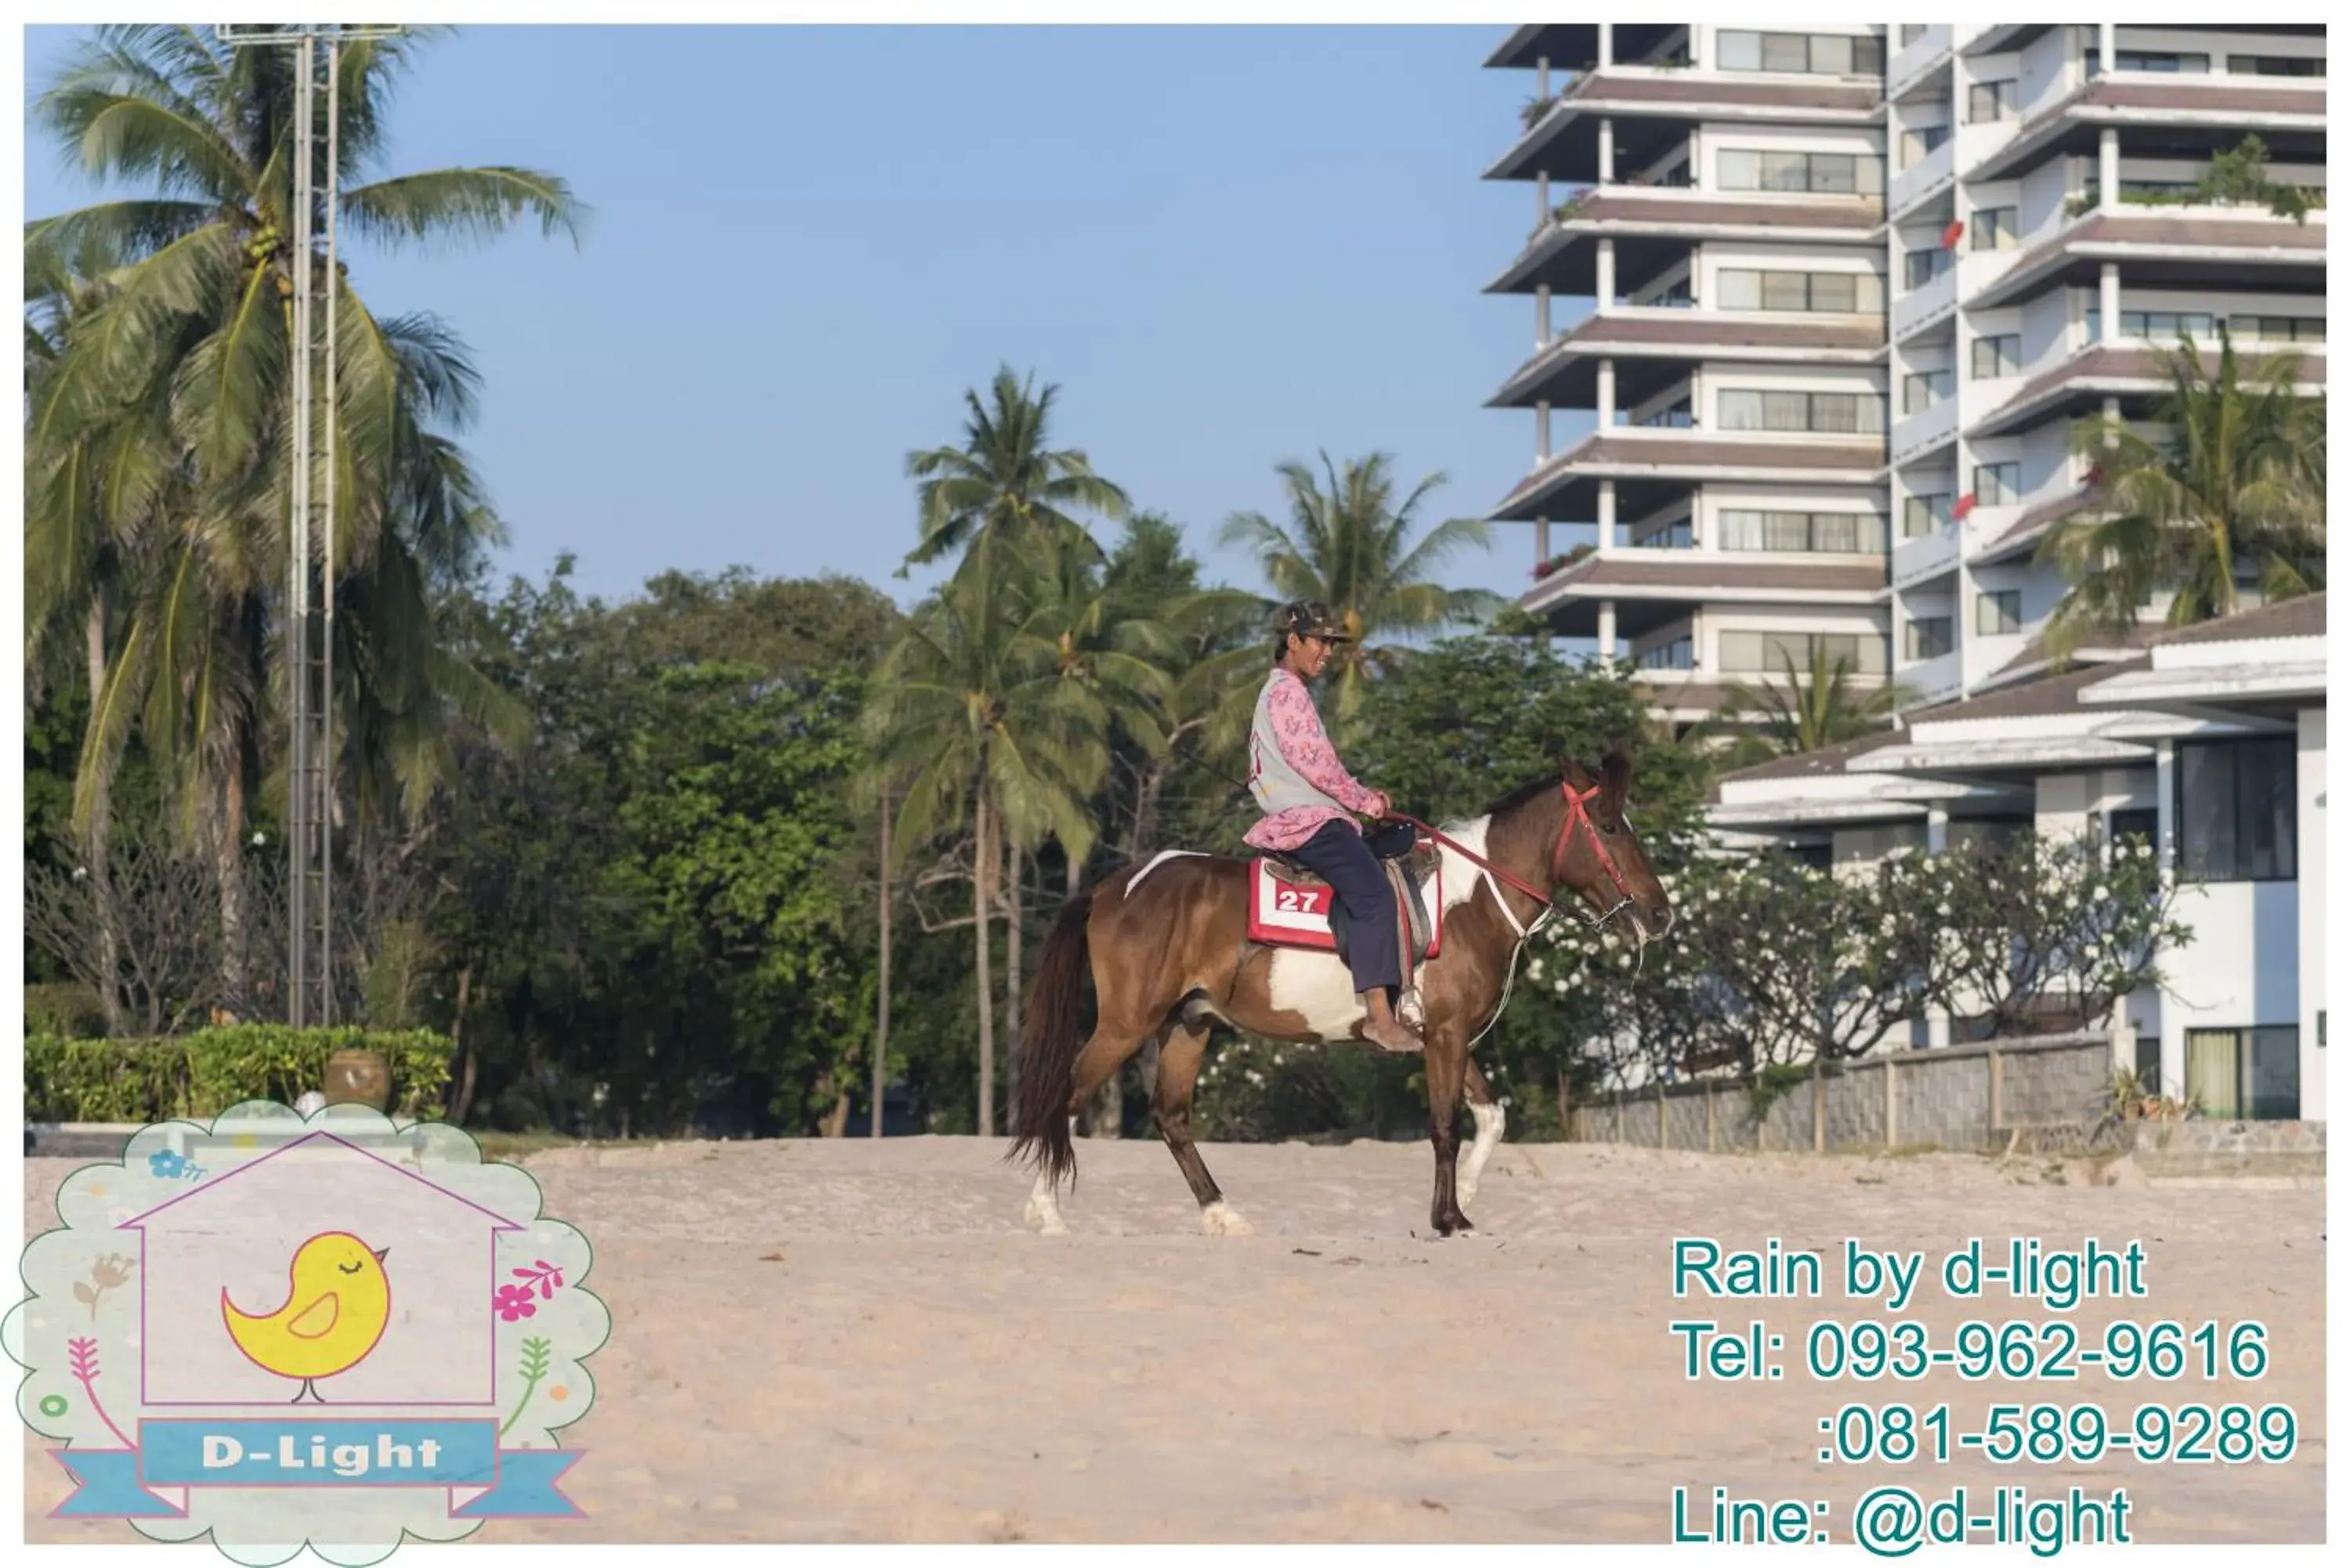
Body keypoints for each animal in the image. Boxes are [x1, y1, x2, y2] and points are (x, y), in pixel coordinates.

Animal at [1010, 747, 1673, 1241]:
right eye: (1610, 827)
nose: (1659, 914)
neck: (1470, 898)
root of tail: (1112, 887)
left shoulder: (1445, 1033)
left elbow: (1491, 1116)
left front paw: (1467, 1196)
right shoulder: (1447, 1035)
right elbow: (1445, 1126)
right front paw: (1447, 1217)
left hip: (1188, 1023)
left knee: (1171, 1117)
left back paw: (1222, 1214)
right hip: (1127, 1023)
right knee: (1069, 1094)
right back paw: (1045, 1211)